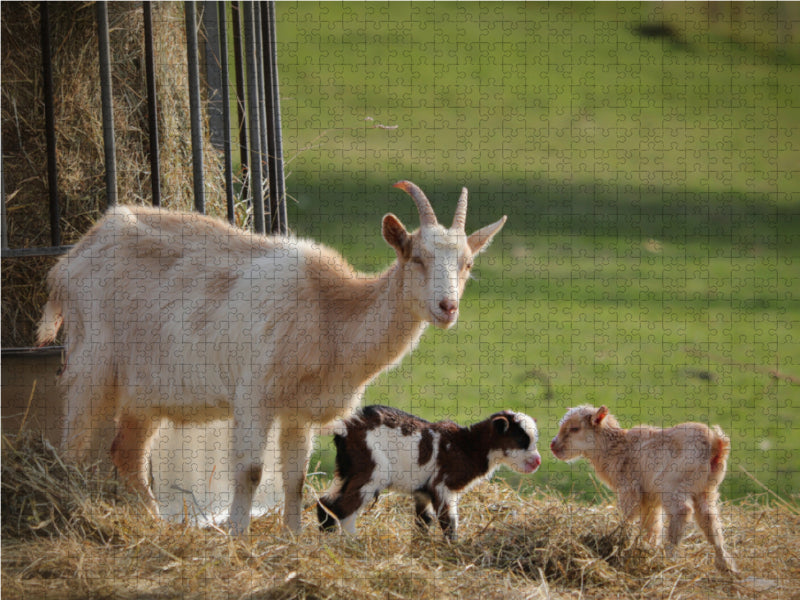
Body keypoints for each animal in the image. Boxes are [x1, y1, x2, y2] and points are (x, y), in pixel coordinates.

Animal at [36, 181, 507, 535]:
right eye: (417, 257)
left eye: (467, 264)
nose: (447, 308)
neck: (329, 311)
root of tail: (70, 260)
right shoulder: (254, 394)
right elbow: (250, 471)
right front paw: (237, 535)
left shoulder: (298, 410)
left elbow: (294, 476)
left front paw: (294, 537)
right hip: (91, 361)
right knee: (73, 445)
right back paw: (68, 512)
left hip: (146, 389)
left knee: (127, 452)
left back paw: (153, 523)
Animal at [317, 405, 541, 540]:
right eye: (521, 440)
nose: (537, 461)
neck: (467, 445)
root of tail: (345, 428)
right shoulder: (442, 485)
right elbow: (449, 522)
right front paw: (453, 548)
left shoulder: (422, 492)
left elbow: (423, 522)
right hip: (373, 470)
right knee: (344, 510)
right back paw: (353, 543)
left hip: (347, 470)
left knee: (325, 503)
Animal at [550, 405, 738, 574]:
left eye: (575, 428)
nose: (553, 446)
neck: (615, 448)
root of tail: (716, 444)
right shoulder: (649, 498)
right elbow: (652, 525)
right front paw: (645, 547)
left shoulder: (629, 488)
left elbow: (628, 517)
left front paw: (618, 541)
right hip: (706, 489)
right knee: (710, 520)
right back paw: (726, 564)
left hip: (672, 483)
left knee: (682, 511)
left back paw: (667, 557)